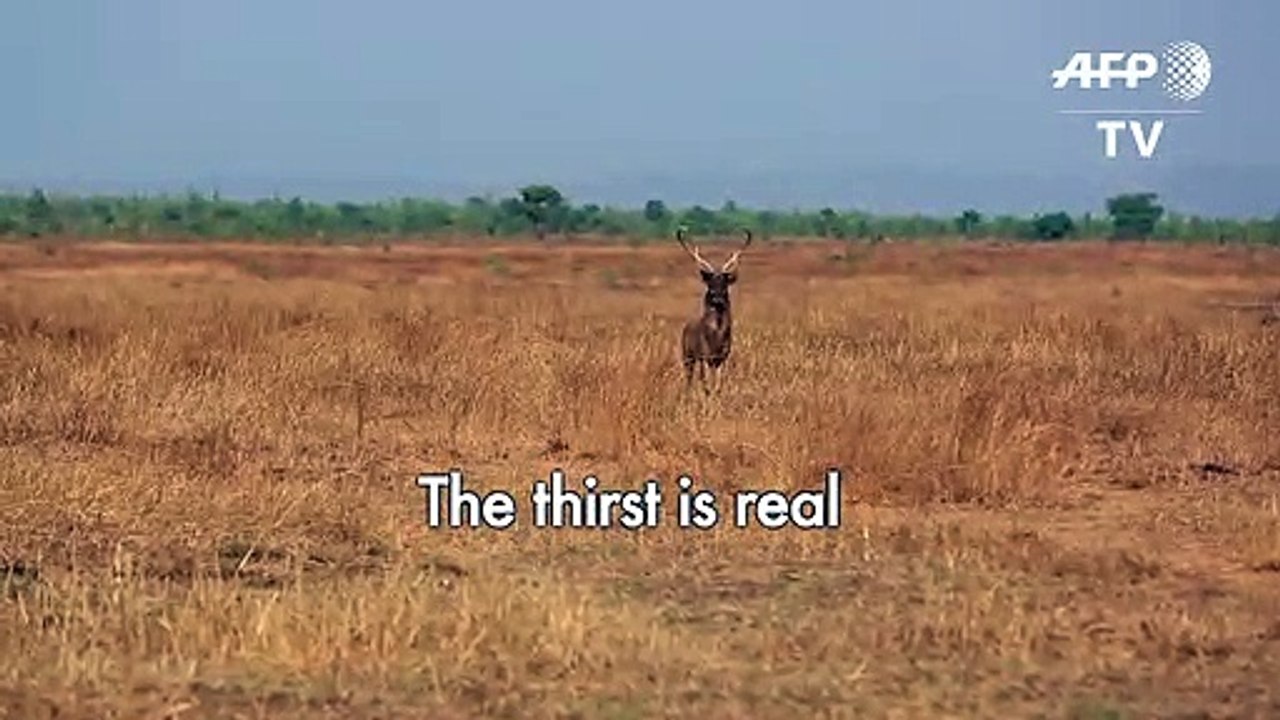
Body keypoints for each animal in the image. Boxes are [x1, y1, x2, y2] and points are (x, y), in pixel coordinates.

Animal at [675, 225, 754, 394]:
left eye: (725, 286)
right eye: (710, 286)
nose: (717, 299)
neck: (716, 338)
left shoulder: (723, 356)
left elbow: (718, 385)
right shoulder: (703, 354)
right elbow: (705, 383)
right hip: (687, 354)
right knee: (690, 379)